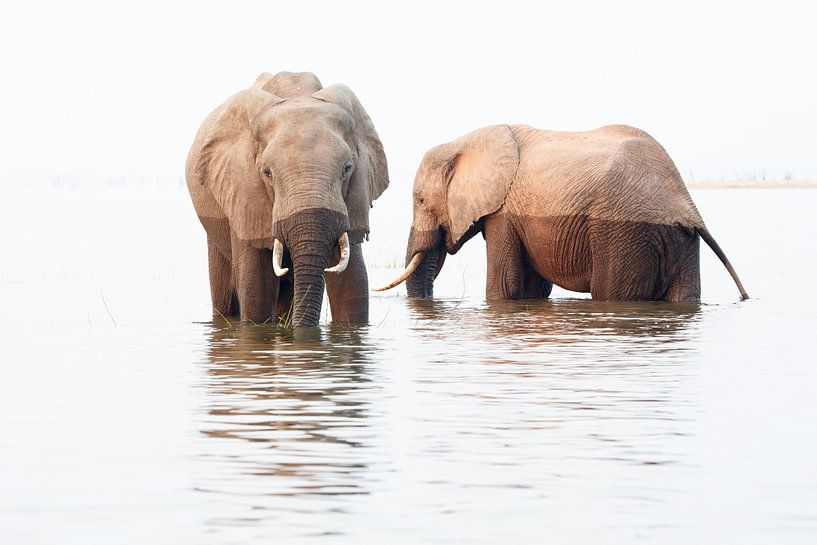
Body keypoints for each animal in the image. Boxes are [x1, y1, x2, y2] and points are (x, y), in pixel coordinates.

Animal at [376, 122, 744, 302]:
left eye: (420, 201)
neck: (464, 143)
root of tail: (685, 205)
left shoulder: (503, 212)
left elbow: (506, 285)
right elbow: (530, 289)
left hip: (623, 236)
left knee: (611, 294)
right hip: (682, 241)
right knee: (685, 297)